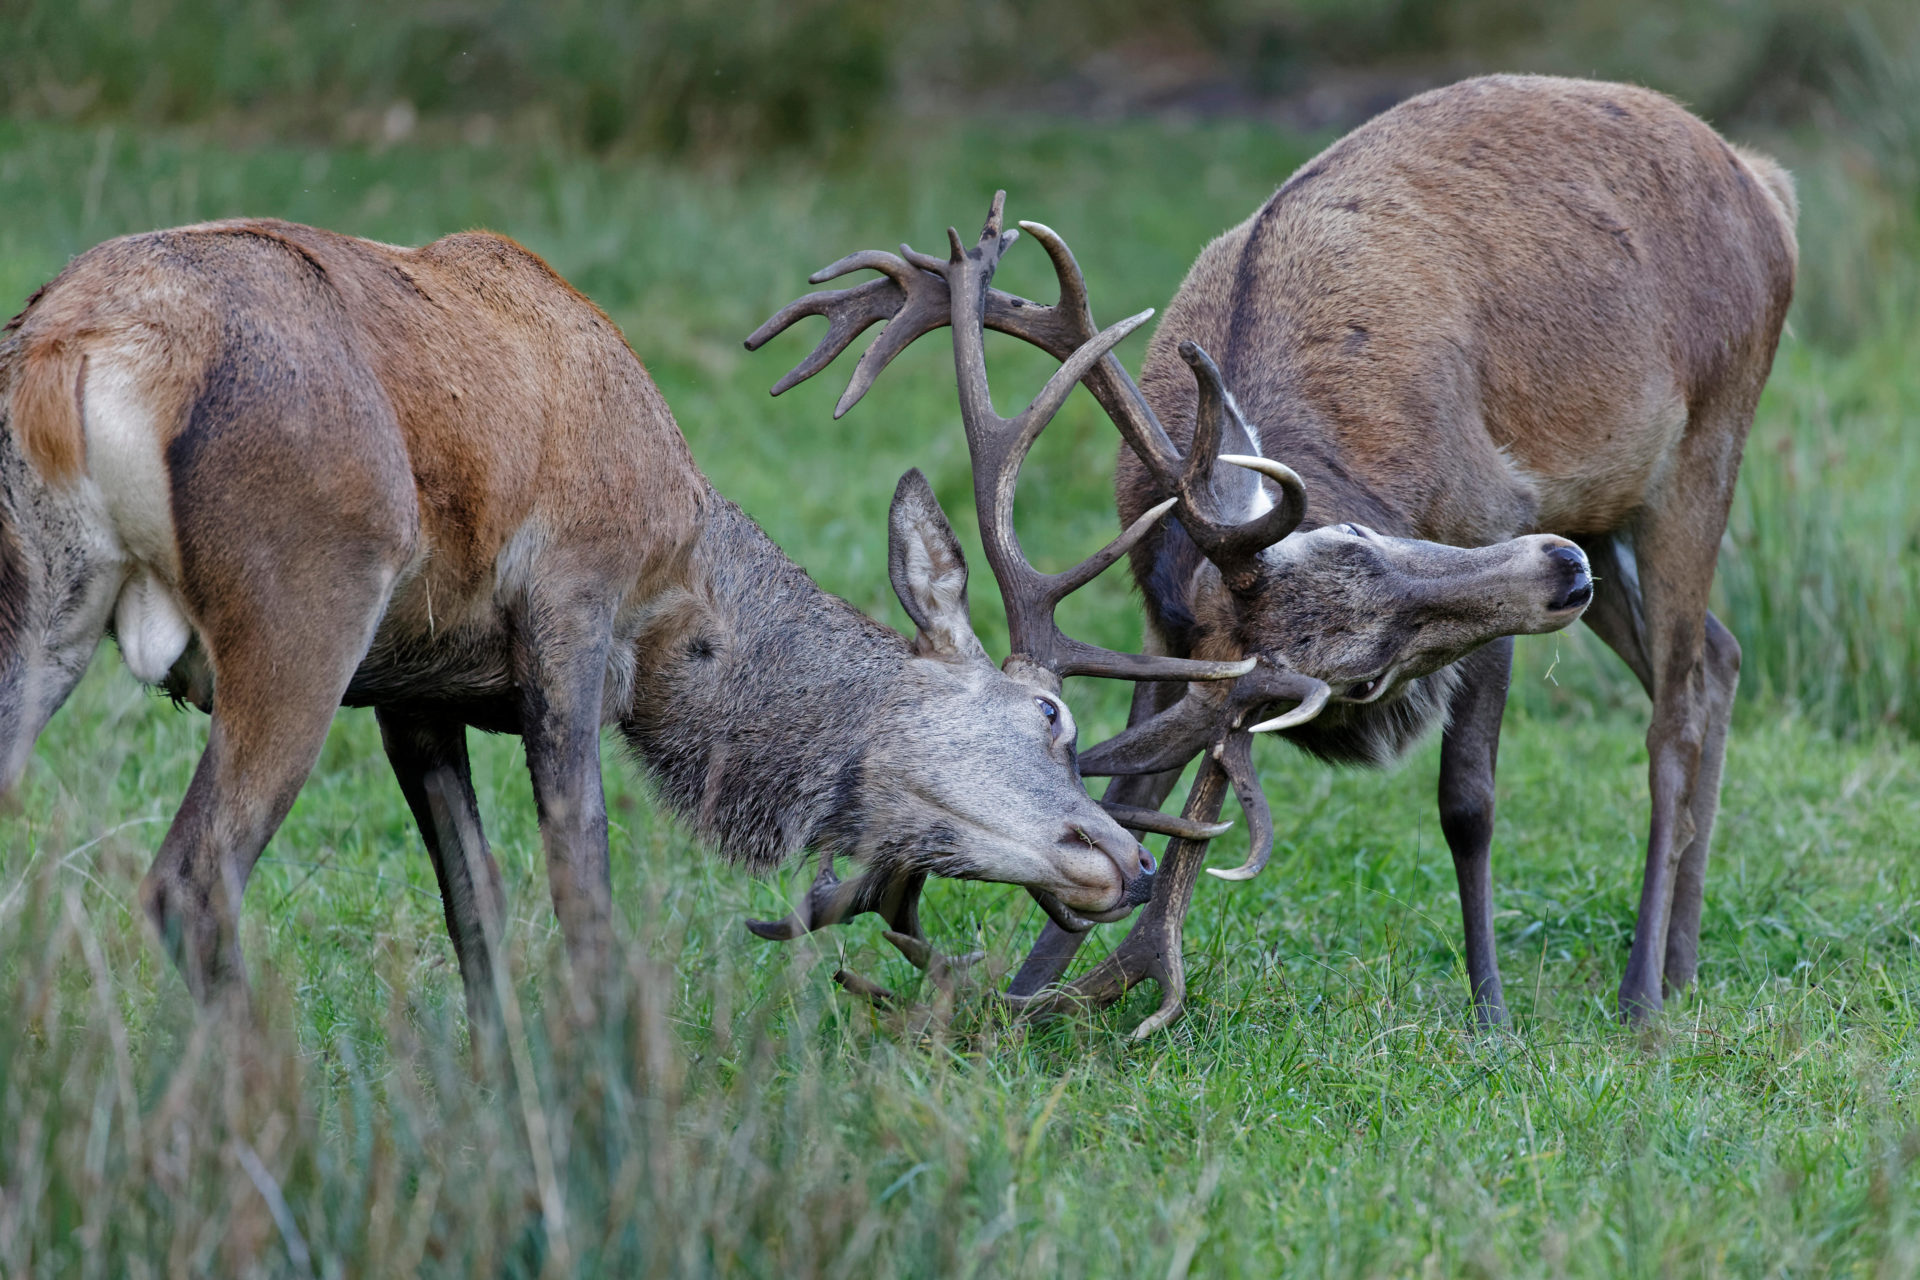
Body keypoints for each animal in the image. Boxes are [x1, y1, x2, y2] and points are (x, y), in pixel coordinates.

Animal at [0, 217, 1244, 1020]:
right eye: (1050, 715)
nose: (1130, 858)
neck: (684, 601)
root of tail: (78, 347)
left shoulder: (411, 681)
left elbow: (476, 907)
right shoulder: (574, 600)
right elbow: (581, 893)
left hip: (39, 602)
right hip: (304, 592)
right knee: (191, 880)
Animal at [752, 75, 1797, 1028]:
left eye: (1356, 533)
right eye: (1360, 679)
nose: (1553, 573)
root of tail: (1767, 183)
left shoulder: (1494, 505)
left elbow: (1468, 802)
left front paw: (1492, 1013)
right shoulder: (1164, 622)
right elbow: (1129, 789)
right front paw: (1024, 988)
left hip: (1700, 446)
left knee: (1672, 713)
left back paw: (1641, 992)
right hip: (1604, 507)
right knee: (1718, 657)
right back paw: (1685, 960)